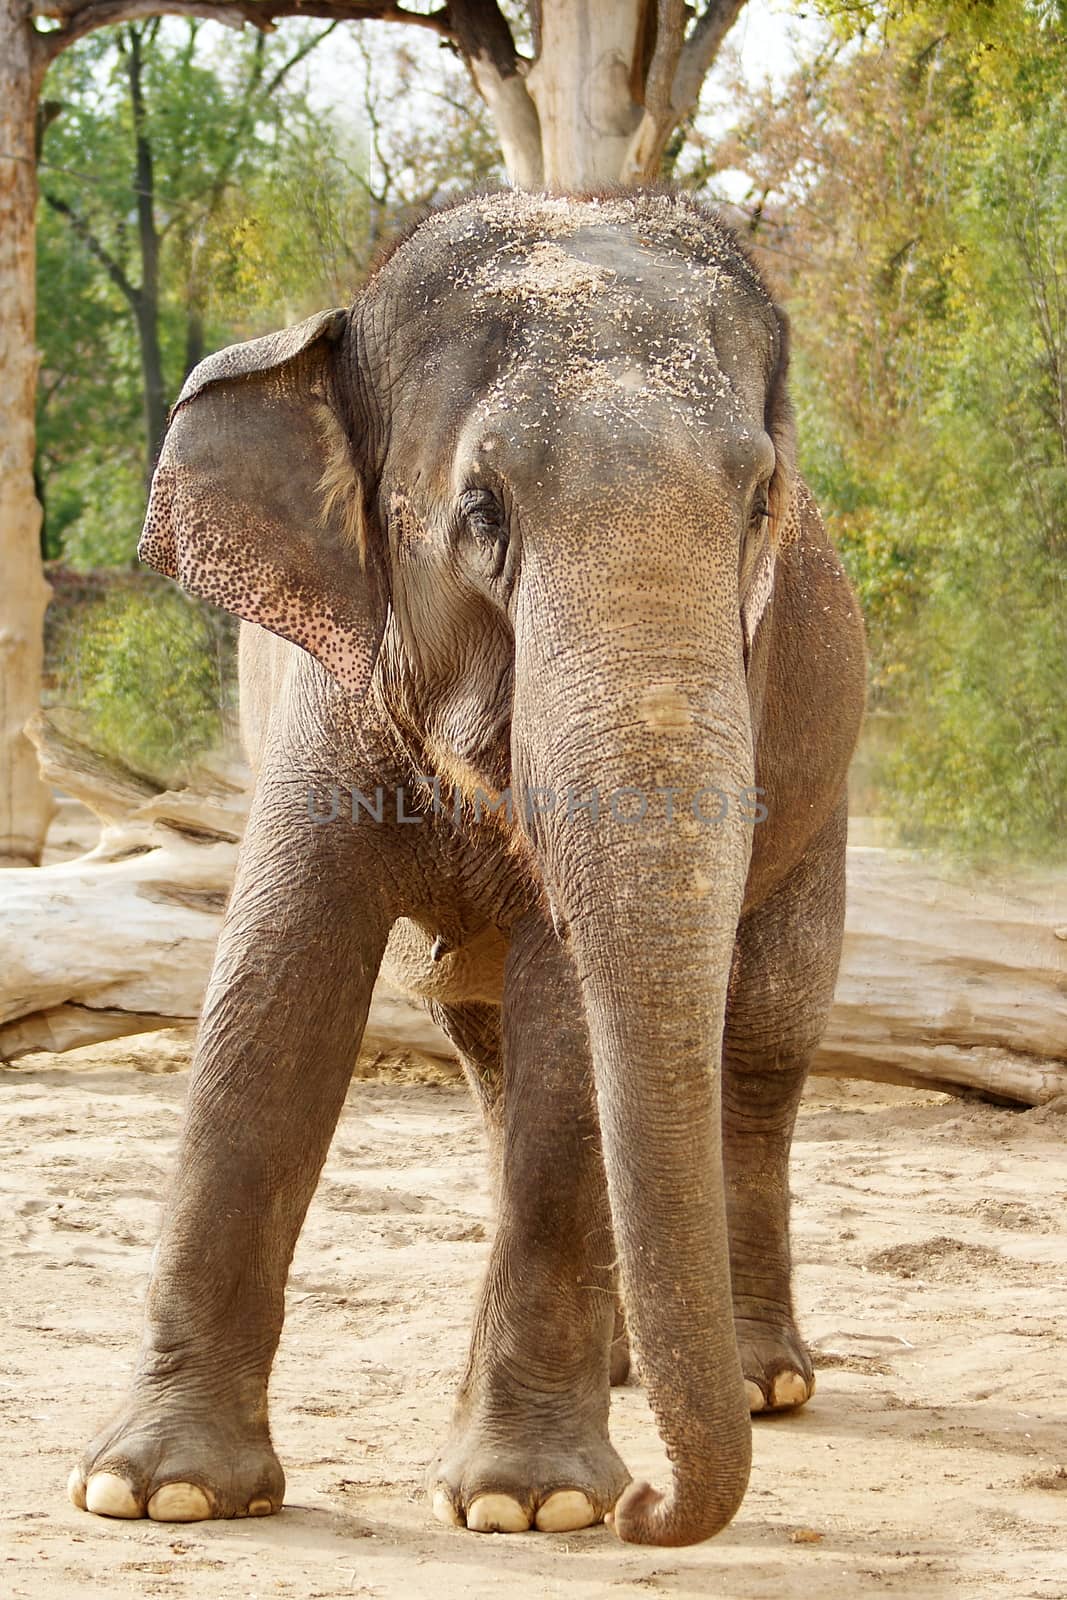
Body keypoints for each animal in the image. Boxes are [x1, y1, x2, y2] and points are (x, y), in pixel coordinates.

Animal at [66, 187, 870, 1548]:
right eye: (481, 511)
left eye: (759, 502)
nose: (650, 1503)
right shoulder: (329, 681)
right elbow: (273, 988)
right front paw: (155, 1490)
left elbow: (568, 1027)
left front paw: (527, 1505)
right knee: (486, 1051)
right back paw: (629, 1374)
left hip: (824, 804)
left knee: (759, 1047)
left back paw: (759, 1382)